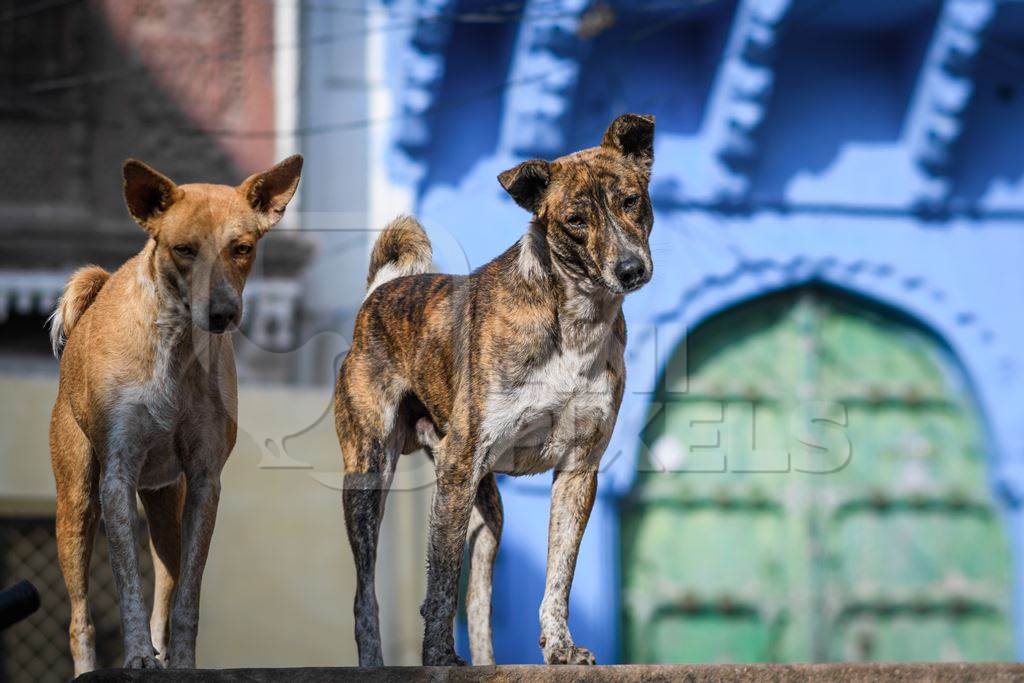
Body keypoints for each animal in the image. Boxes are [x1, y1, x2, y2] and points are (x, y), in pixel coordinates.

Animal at [48, 156, 299, 671]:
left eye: (242, 249)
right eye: (184, 249)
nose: (222, 313)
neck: (175, 348)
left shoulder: (204, 480)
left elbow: (186, 597)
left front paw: (180, 660)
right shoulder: (116, 478)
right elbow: (126, 585)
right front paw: (138, 657)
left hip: (167, 507)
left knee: (165, 589)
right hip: (77, 502)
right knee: (80, 618)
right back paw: (89, 667)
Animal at [335, 114, 655, 663]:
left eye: (631, 200)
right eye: (575, 219)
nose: (631, 270)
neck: (574, 320)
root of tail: (378, 293)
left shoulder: (578, 470)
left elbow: (557, 578)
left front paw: (560, 649)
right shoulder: (460, 465)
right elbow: (441, 582)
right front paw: (438, 659)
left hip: (488, 512)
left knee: (480, 598)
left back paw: (486, 662)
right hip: (370, 475)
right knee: (365, 596)